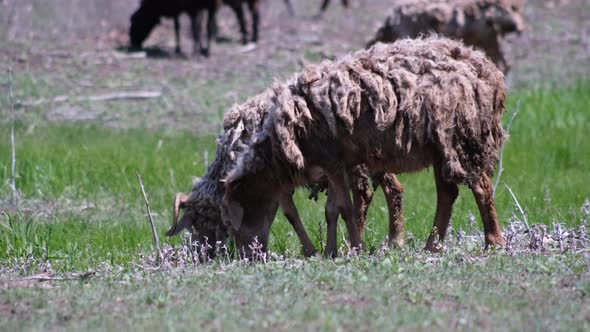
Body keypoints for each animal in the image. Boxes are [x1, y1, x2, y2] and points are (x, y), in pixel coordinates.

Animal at [220, 36, 512, 255]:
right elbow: (333, 210)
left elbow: (345, 208)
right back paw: (432, 246)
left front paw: (354, 248)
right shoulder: (335, 165)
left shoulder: (332, 160)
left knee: (480, 187)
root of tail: (489, 73)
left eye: (233, 225)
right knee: (447, 193)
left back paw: (493, 242)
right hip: (442, 147)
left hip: (462, 137)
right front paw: (332, 251)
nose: (249, 256)